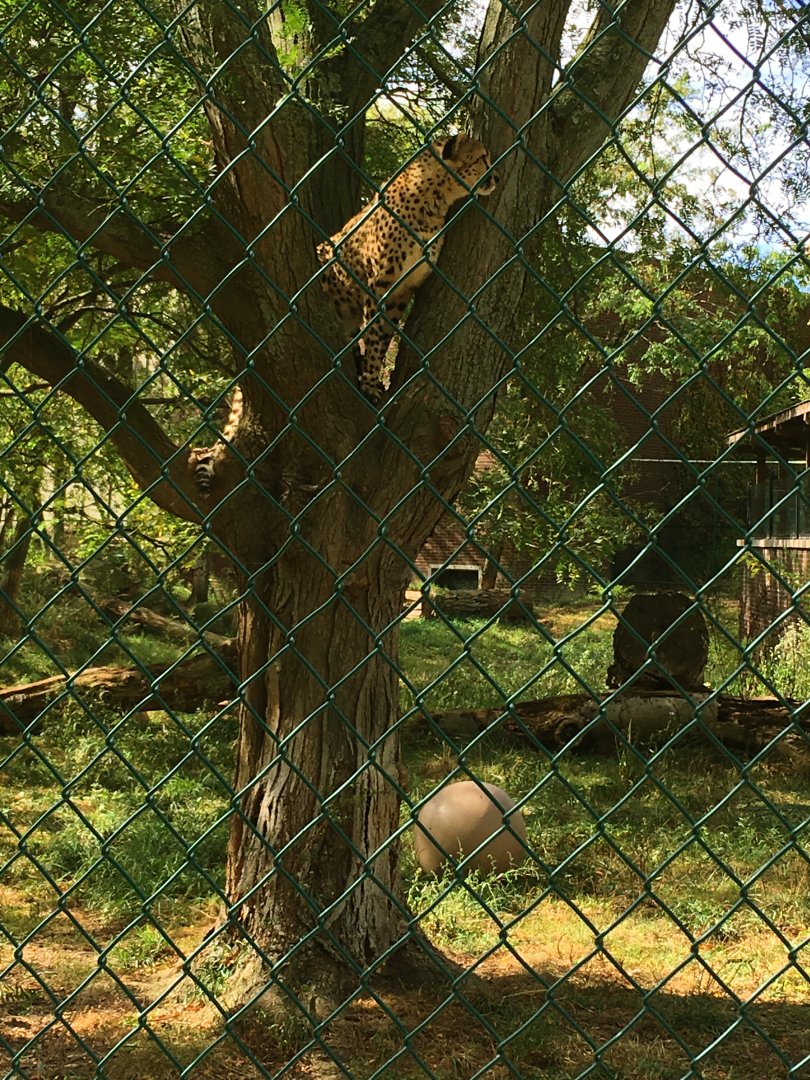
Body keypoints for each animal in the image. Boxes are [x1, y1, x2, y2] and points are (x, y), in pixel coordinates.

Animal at [317, 132, 499, 402]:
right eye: (483, 157)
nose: (497, 178)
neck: (434, 199)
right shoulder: (379, 285)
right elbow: (373, 334)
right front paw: (369, 382)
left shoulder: (403, 289)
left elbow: (383, 337)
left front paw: (373, 377)